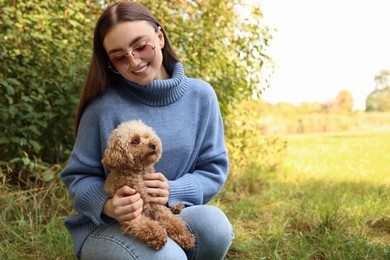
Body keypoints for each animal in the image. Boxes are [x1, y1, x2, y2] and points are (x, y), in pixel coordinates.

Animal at [100, 120, 195, 250]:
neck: (138, 173)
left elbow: (172, 222)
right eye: (135, 141)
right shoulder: (130, 213)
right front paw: (157, 235)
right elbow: (146, 225)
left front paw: (185, 237)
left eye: (147, 136)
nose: (153, 145)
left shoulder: (156, 205)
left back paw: (177, 208)